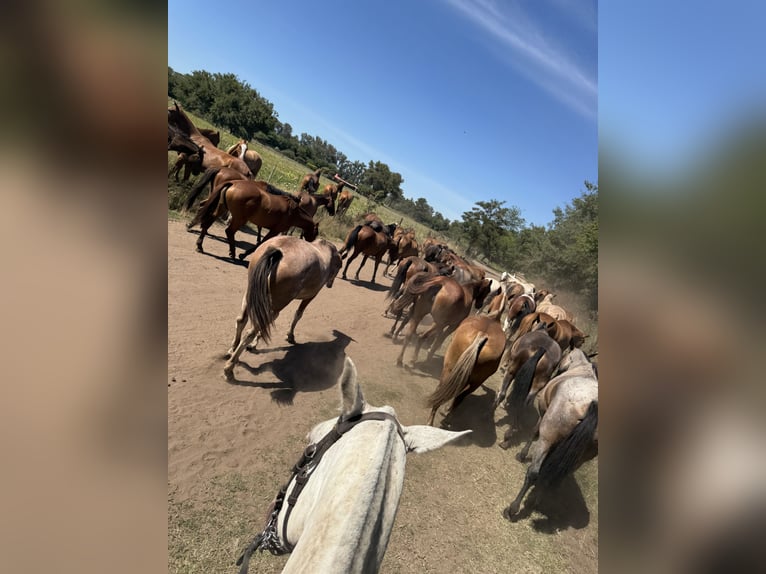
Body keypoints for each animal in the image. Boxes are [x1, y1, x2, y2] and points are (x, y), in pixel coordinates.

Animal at [222, 236, 342, 380]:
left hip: (251, 294)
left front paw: (253, 345)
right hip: (276, 304)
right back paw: (229, 368)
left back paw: (232, 351)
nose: (330, 284)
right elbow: (298, 314)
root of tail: (277, 251)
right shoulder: (311, 296)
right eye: (339, 267)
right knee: (250, 332)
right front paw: (290, 336)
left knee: (241, 320)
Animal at [426, 300, 510, 430]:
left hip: (449, 369)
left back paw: (431, 421)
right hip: (476, 381)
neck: (493, 318)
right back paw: (448, 416)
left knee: (443, 390)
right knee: (460, 396)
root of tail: (481, 335)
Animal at [504, 348, 600, 520]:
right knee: (552, 478)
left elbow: (534, 432)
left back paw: (513, 508)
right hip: (580, 458)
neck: (582, 369)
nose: (557, 373)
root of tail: (591, 404)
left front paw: (522, 454)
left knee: (534, 472)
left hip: (547, 438)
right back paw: (535, 501)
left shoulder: (543, 416)